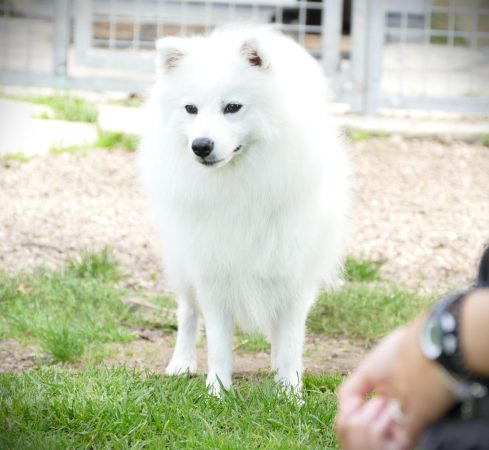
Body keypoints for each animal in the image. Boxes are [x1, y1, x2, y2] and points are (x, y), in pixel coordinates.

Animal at [138, 28, 346, 394]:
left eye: (233, 107)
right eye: (191, 109)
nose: (200, 146)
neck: (240, 183)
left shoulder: (293, 274)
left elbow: (290, 342)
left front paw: (290, 394)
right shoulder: (212, 270)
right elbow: (218, 343)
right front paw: (217, 392)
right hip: (182, 260)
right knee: (187, 312)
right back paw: (182, 362)